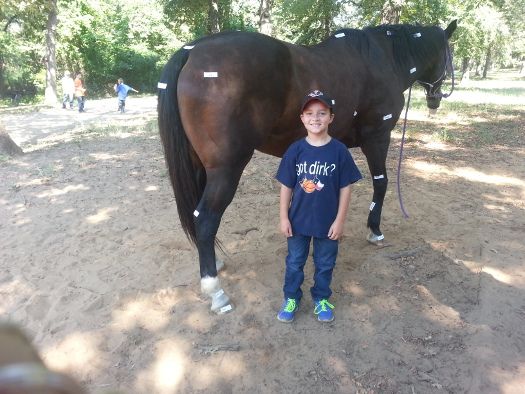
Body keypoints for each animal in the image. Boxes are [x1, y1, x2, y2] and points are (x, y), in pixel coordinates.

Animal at [156, 20, 454, 314]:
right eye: (449, 54)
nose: (436, 98)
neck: (384, 57)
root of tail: (192, 50)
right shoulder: (377, 137)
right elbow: (381, 183)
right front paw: (375, 231)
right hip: (226, 169)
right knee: (205, 218)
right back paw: (215, 291)